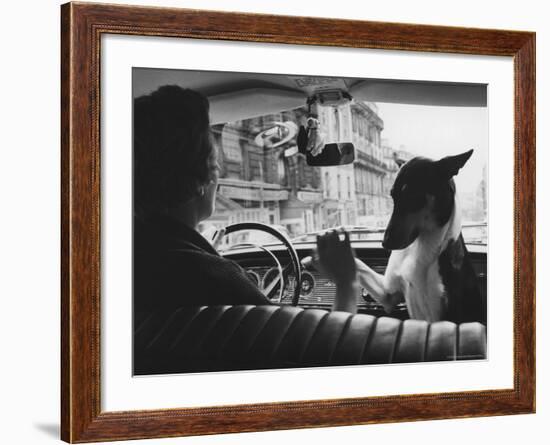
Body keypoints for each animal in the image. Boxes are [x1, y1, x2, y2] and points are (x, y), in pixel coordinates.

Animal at [354, 149, 488, 322]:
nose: (385, 243)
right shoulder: (387, 294)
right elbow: (359, 265)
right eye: (392, 196)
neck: (421, 246)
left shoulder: (442, 318)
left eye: (412, 196)